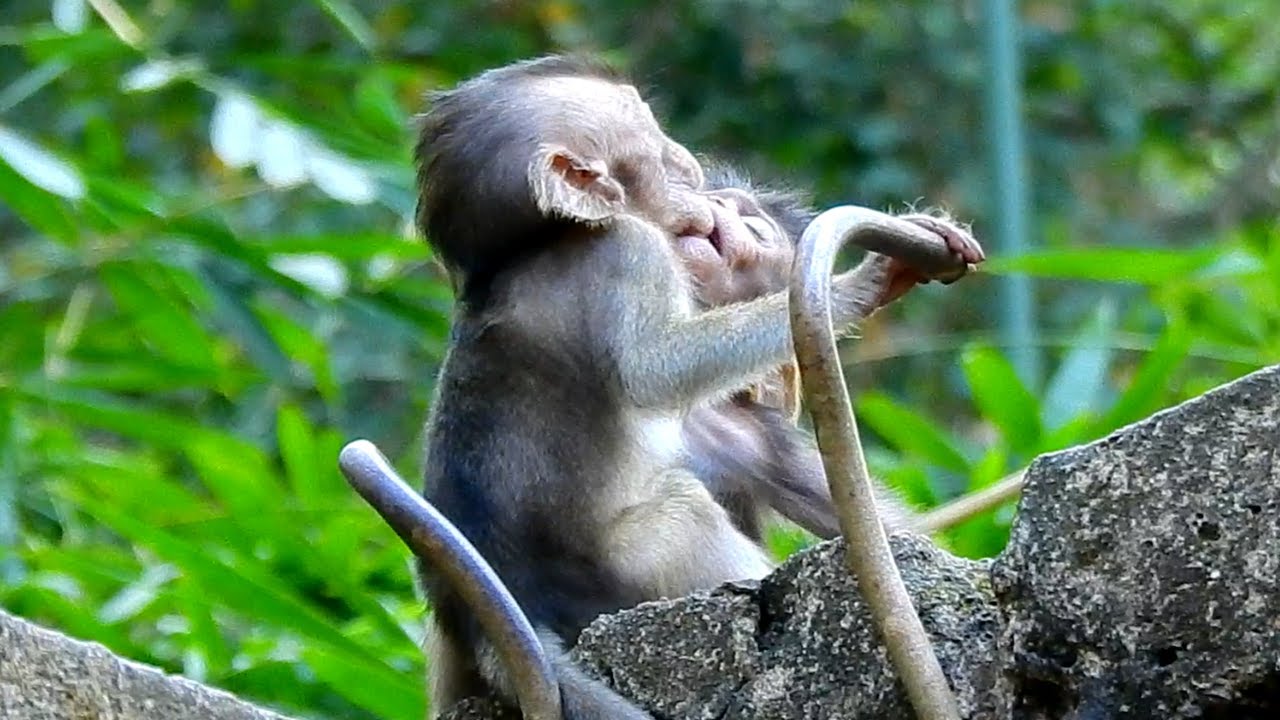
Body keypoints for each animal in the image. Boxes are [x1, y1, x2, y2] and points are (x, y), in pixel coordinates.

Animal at [413, 55, 984, 720]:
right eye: (662, 151)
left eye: (752, 228)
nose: (695, 174)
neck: (546, 242)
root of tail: (488, 611)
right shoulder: (632, 248)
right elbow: (655, 366)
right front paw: (857, 285)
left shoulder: (755, 434)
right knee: (682, 510)